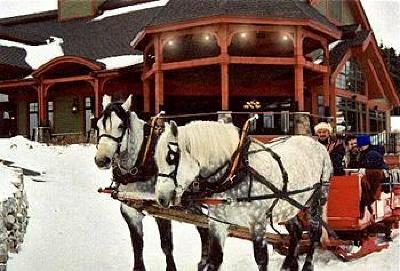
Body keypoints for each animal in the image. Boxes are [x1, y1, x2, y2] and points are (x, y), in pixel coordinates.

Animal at [94, 95, 209, 271]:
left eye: (120, 126)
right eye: (98, 125)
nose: (101, 160)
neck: (141, 161)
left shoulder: (162, 209)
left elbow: (166, 245)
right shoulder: (130, 211)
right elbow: (137, 247)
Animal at [153, 121, 332, 271]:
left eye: (171, 157)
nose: (161, 198)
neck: (235, 169)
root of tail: (316, 143)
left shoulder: (257, 223)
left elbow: (261, 260)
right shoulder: (217, 222)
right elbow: (214, 259)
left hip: (318, 199)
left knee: (315, 232)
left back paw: (307, 265)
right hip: (288, 204)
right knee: (296, 231)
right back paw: (288, 265)